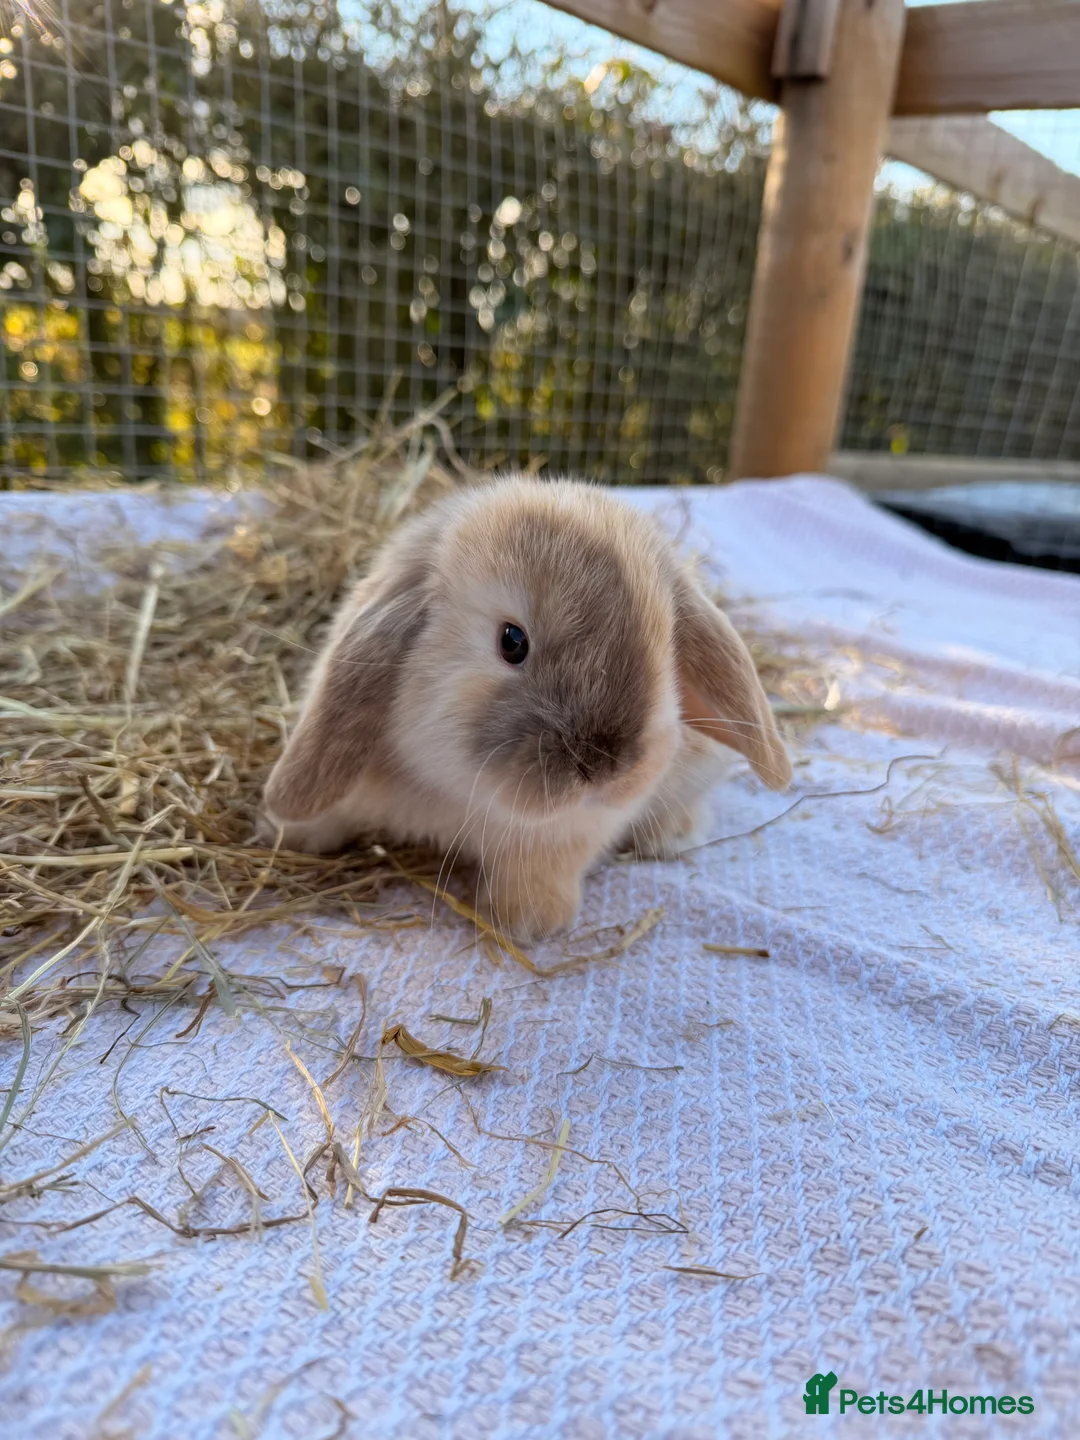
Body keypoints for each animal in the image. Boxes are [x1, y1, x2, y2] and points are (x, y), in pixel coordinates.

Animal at [262, 476, 791, 941]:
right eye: (512, 641)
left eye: (666, 650)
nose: (604, 769)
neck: (458, 792)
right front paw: (283, 832)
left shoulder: (567, 835)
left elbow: (540, 868)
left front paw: (532, 924)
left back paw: (671, 835)